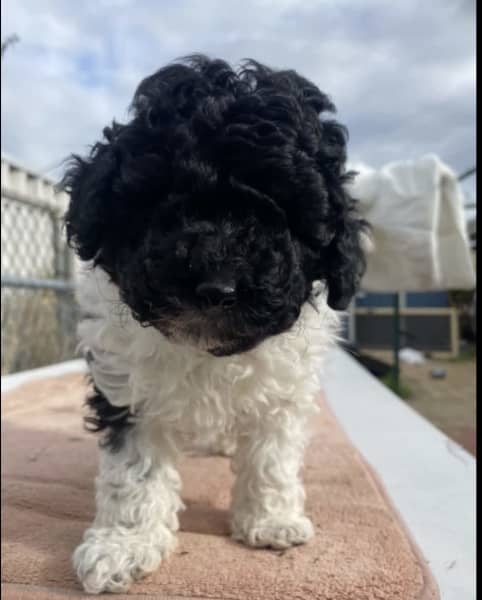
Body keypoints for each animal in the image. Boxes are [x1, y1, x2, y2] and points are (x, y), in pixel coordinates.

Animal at [63, 56, 366, 596]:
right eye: (162, 196)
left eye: (284, 212)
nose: (216, 284)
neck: (207, 351)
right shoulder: (128, 390)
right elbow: (133, 470)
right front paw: (124, 545)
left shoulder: (284, 392)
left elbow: (272, 455)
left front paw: (271, 520)